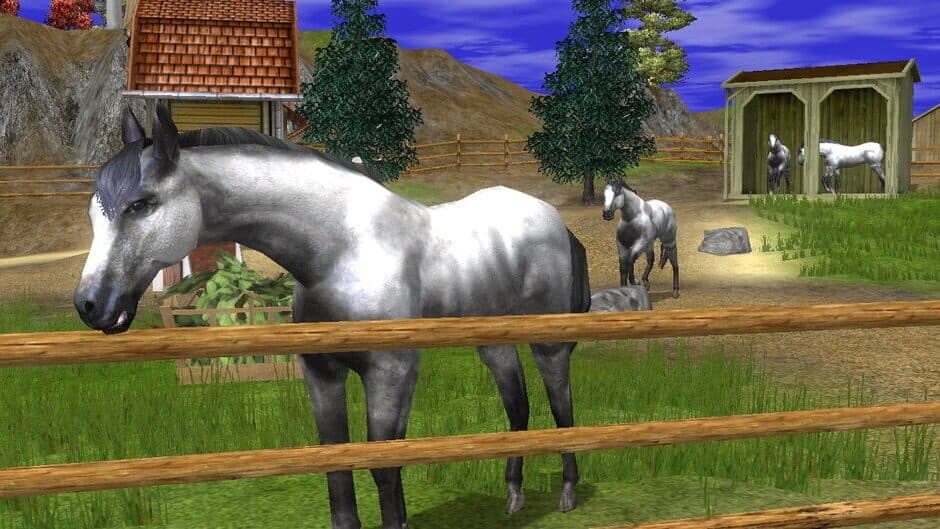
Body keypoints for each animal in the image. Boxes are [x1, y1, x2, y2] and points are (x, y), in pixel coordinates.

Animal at [73, 104, 592, 529]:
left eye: (141, 205)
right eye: (94, 214)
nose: (90, 305)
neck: (342, 250)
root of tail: (551, 218)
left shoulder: (390, 372)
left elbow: (384, 466)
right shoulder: (322, 374)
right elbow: (337, 468)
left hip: (547, 341)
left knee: (561, 403)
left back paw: (567, 495)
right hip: (492, 341)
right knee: (518, 406)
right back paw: (514, 497)